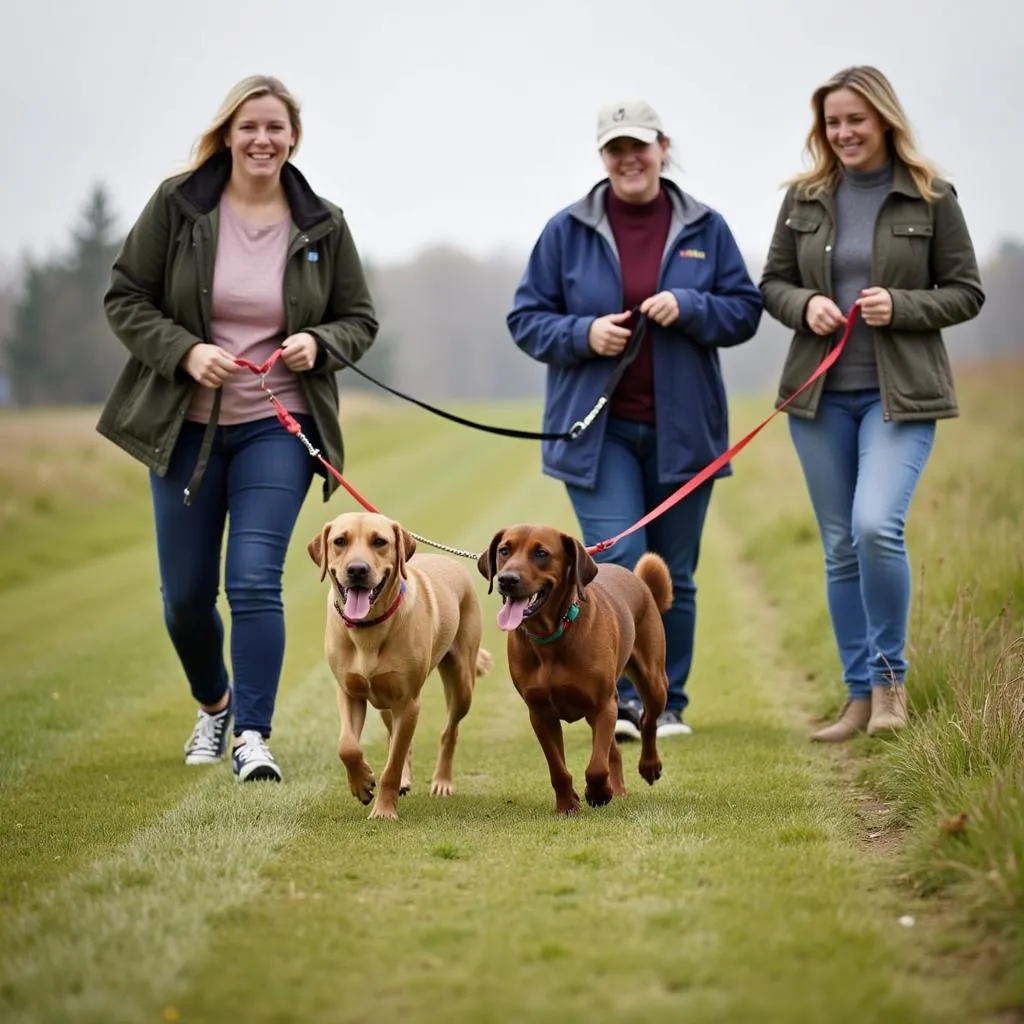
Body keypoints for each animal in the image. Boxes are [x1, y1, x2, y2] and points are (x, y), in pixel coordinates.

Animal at [307, 516, 491, 819]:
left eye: (379, 541)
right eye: (340, 541)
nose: (357, 570)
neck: (368, 629)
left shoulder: (408, 701)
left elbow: (391, 766)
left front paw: (384, 810)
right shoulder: (349, 692)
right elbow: (348, 746)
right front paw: (362, 783)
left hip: (462, 683)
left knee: (448, 731)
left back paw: (442, 781)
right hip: (384, 702)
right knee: (396, 737)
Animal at [477, 524, 671, 811]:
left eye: (541, 553)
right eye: (504, 550)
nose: (506, 579)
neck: (551, 636)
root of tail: (639, 580)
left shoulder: (603, 704)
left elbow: (596, 766)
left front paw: (598, 793)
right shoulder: (540, 713)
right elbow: (558, 768)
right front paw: (568, 804)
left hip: (653, 680)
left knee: (648, 720)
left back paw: (648, 766)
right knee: (615, 749)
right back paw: (618, 789)